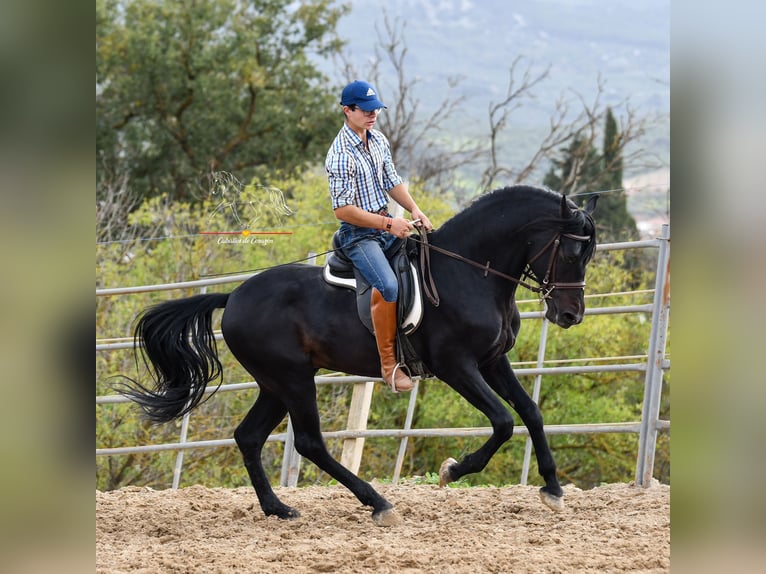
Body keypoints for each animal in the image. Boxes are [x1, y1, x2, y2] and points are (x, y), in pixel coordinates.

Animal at [121, 187, 600, 528]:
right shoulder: (457, 367)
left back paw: (279, 509)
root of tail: (234, 296)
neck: (468, 273)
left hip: (276, 384)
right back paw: (378, 503)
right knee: (309, 443)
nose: (571, 315)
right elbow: (502, 421)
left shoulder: (492, 362)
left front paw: (553, 489)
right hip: (293, 379)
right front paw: (454, 470)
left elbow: (531, 412)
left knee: (249, 437)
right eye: (570, 251)